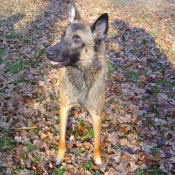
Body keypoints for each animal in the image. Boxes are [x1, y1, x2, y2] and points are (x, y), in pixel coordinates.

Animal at [45, 0, 108, 167]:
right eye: (63, 35)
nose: (48, 53)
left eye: (77, 40)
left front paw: (98, 160)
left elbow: (97, 141)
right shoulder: (64, 107)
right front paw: (60, 156)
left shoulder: (96, 114)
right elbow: (61, 137)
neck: (82, 74)